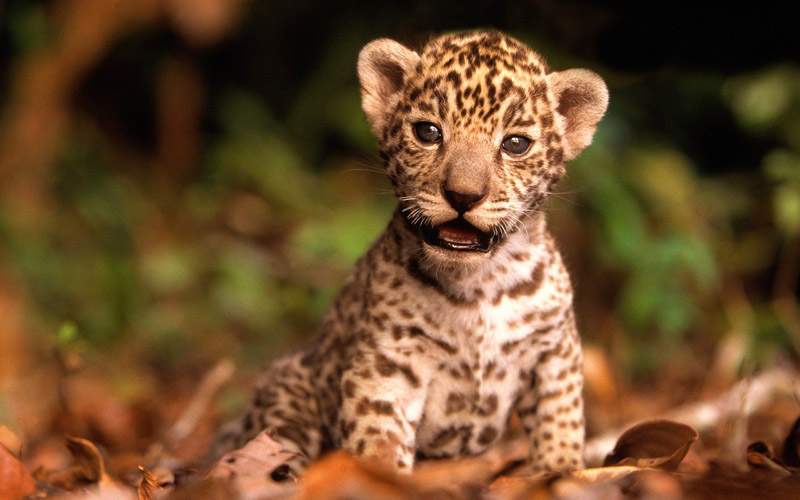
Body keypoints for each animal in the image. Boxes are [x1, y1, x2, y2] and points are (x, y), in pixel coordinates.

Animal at [213, 30, 608, 481]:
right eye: (428, 132)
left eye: (515, 144)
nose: (463, 195)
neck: (479, 284)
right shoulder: (389, 362)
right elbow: (379, 435)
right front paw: (382, 481)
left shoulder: (554, 351)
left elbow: (559, 417)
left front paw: (560, 471)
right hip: (285, 396)